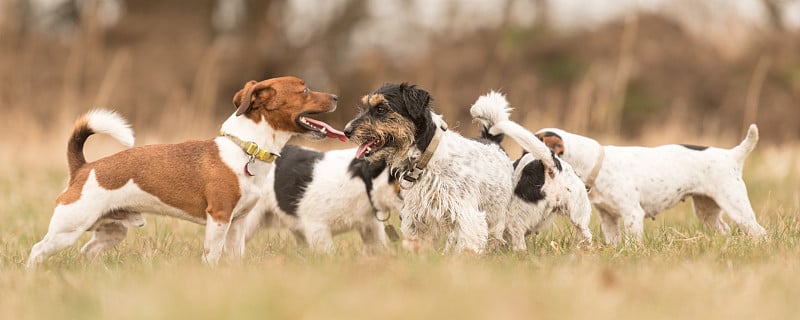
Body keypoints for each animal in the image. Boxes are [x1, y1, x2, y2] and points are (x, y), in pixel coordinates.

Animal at [24, 75, 344, 268]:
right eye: (304, 90)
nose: (337, 96)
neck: (247, 149)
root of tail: (84, 167)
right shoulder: (219, 218)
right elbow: (212, 255)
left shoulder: (238, 223)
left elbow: (235, 256)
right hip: (68, 229)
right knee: (38, 250)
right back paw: (32, 275)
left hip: (112, 231)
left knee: (88, 252)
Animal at [344, 83, 512, 252]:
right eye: (365, 106)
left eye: (380, 109)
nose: (346, 131)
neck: (425, 160)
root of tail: (491, 140)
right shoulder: (414, 218)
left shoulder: (467, 216)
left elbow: (466, 248)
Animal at [536, 126, 764, 244]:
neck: (597, 164)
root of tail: (732, 155)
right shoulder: (608, 218)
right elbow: (614, 241)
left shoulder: (632, 214)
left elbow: (633, 242)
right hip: (707, 211)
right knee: (724, 229)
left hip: (737, 207)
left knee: (759, 231)